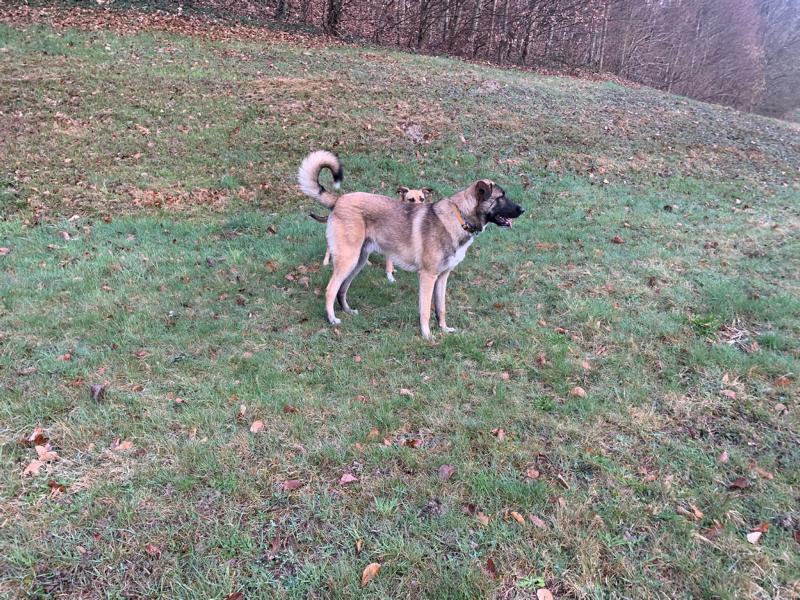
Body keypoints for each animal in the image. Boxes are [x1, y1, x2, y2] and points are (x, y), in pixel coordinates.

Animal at [297, 150, 524, 339]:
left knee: (342, 289)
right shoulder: (427, 276)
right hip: (348, 260)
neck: (460, 217)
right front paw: (427, 335)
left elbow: (440, 307)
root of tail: (339, 200)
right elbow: (425, 310)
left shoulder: (442, 277)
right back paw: (332, 319)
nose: (523, 210)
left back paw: (347, 310)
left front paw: (443, 329)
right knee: (331, 289)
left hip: (358, 262)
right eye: (501, 197)